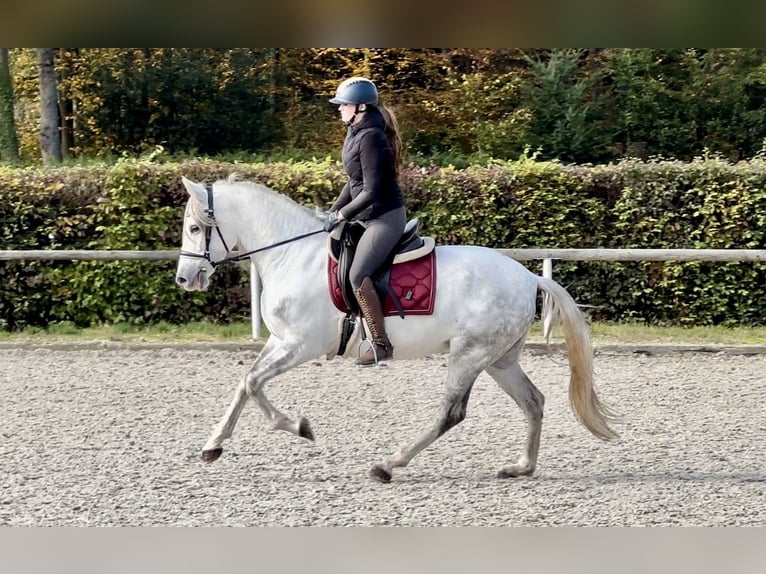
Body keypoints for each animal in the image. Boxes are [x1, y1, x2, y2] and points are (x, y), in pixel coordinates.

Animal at [174, 178, 616, 484]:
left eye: (195, 228)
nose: (184, 279)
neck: (291, 254)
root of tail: (527, 276)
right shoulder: (280, 341)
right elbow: (246, 382)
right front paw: (213, 446)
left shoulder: (301, 345)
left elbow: (253, 384)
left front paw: (298, 427)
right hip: (499, 360)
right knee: (533, 401)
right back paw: (521, 467)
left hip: (469, 354)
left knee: (451, 413)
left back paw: (389, 464)